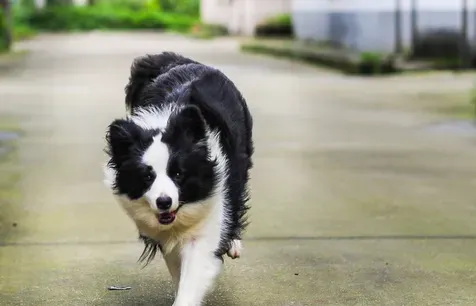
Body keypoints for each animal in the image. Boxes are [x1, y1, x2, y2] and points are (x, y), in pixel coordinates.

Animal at [102, 52, 255, 306]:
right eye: (147, 177)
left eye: (178, 174)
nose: (164, 202)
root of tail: (182, 61)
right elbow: (177, 266)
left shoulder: (208, 213)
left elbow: (194, 271)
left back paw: (233, 242)